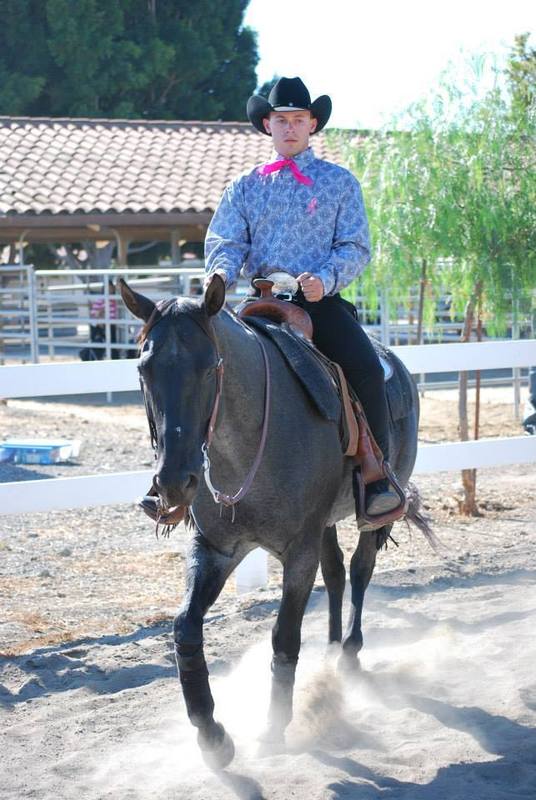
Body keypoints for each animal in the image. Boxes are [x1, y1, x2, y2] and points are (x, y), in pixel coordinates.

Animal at [119, 276, 430, 768]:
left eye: (210, 367)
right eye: (143, 369)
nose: (173, 482)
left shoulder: (297, 552)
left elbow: (284, 637)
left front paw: (273, 728)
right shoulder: (216, 548)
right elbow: (185, 628)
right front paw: (212, 735)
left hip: (376, 510)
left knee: (360, 569)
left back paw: (349, 654)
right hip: (325, 523)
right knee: (336, 573)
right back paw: (330, 650)